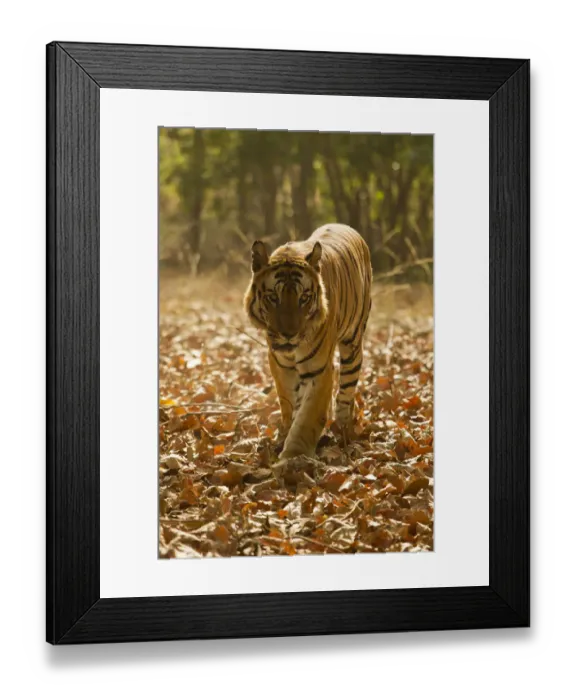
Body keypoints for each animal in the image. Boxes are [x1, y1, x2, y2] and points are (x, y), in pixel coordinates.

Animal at [244, 223, 372, 464]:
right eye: (273, 298)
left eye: (303, 298)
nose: (289, 334)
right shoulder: (281, 365)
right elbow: (289, 405)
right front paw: (285, 438)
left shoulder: (318, 370)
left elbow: (308, 416)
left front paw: (294, 456)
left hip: (353, 343)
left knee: (346, 391)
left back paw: (342, 429)